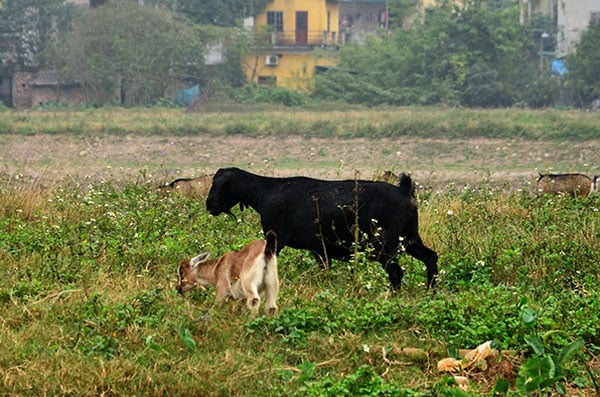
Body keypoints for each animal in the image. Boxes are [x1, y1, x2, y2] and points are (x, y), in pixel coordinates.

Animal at [205, 167, 436, 288]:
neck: (265, 193)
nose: (209, 205)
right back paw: (430, 291)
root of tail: (405, 192)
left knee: (396, 271)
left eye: (219, 185)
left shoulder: (276, 236)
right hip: (409, 237)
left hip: (384, 243)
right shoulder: (318, 248)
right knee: (430, 257)